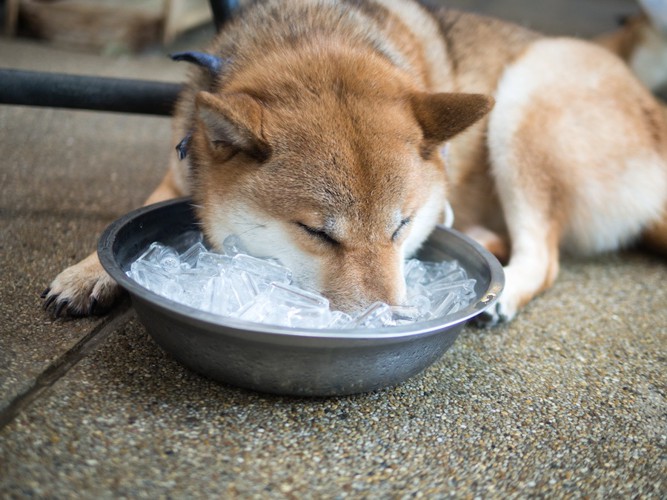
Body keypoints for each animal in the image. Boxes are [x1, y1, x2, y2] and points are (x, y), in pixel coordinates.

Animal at [44, 0, 667, 324]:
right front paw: (87, 273)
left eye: (401, 227)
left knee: (544, 255)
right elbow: (128, 219)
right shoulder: (180, 166)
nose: (384, 322)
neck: (312, 33)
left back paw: (504, 289)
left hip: (526, 99)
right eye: (317, 233)